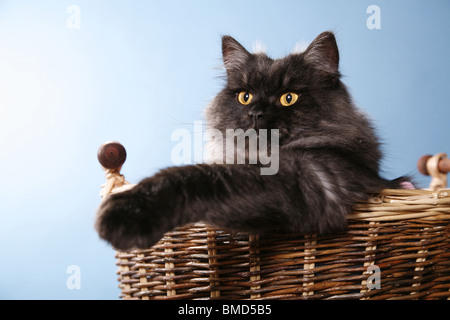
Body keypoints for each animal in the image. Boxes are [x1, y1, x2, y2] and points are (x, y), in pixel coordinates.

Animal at [95, 31, 404, 251]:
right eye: (245, 96)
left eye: (288, 97)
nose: (256, 113)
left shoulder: (310, 178)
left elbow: (192, 177)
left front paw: (125, 213)